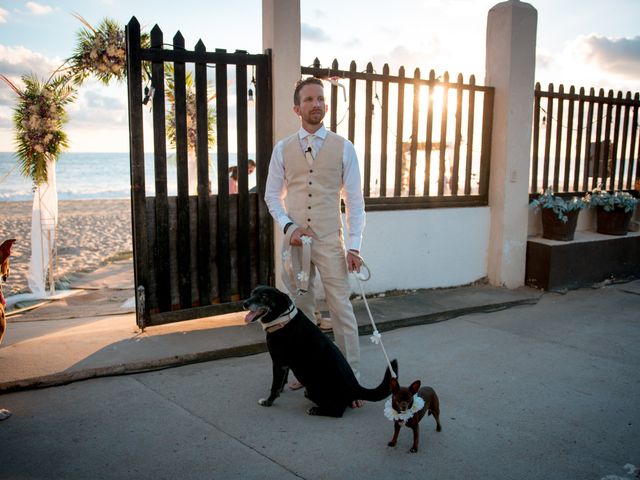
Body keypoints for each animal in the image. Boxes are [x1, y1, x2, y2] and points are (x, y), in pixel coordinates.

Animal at [244, 284, 398, 416]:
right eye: (252, 293)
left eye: (264, 296)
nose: (245, 303)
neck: (282, 319)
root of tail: (355, 387)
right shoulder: (284, 363)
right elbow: (281, 381)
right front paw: (281, 390)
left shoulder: (278, 362)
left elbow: (274, 386)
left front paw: (268, 401)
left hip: (313, 388)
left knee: (338, 411)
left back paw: (316, 410)